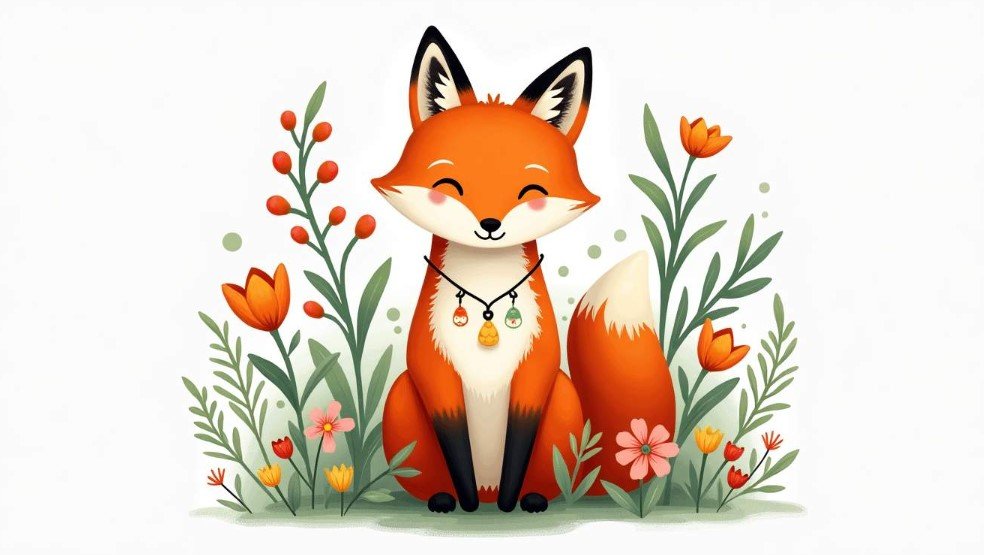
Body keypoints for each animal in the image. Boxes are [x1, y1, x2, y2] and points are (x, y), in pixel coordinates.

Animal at [374, 26, 675, 513]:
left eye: (531, 192)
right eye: (448, 188)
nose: (490, 225)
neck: (486, 292)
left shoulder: (537, 368)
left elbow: (520, 438)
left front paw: (509, 502)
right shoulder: (431, 368)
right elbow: (454, 441)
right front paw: (467, 504)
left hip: (563, 398)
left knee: (551, 480)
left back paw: (531, 498)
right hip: (402, 396)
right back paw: (446, 498)